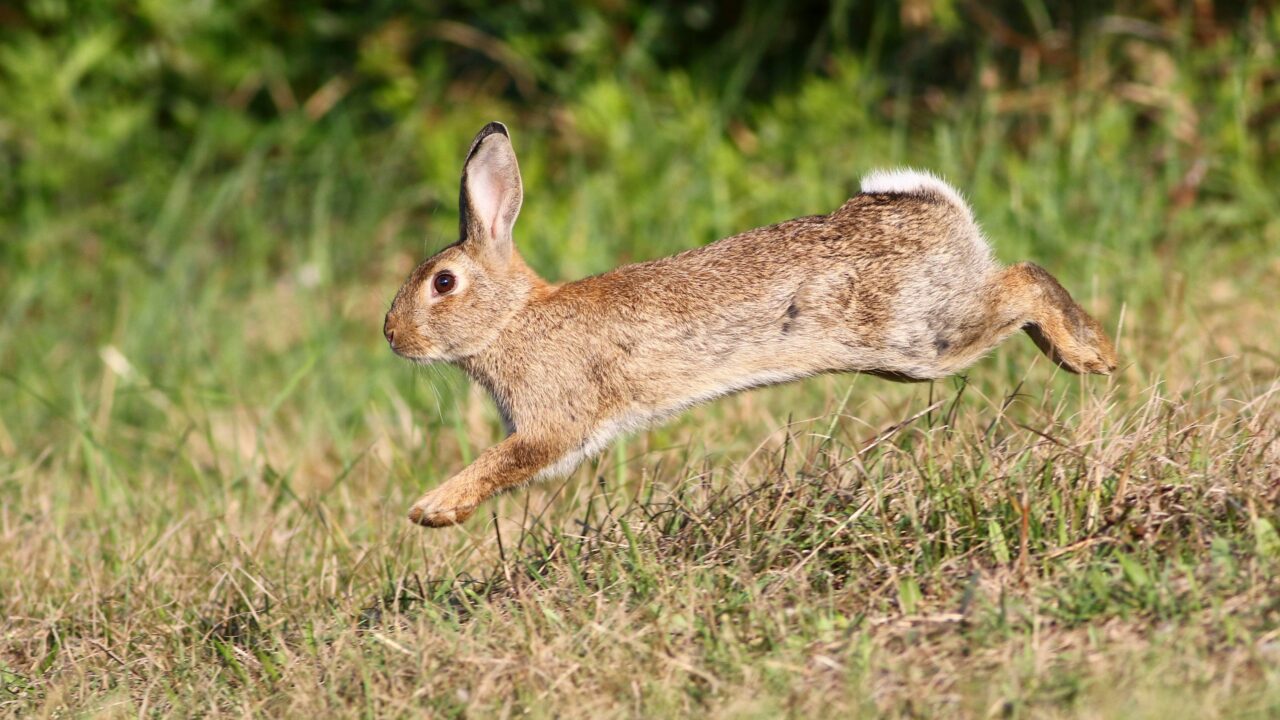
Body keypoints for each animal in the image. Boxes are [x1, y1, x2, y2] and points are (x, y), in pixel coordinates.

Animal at [383, 122, 1117, 527]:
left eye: (443, 284)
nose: (392, 337)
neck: (512, 317)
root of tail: (935, 208)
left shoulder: (552, 421)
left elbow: (506, 461)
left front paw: (431, 509)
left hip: (922, 337)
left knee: (1023, 281)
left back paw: (1091, 355)